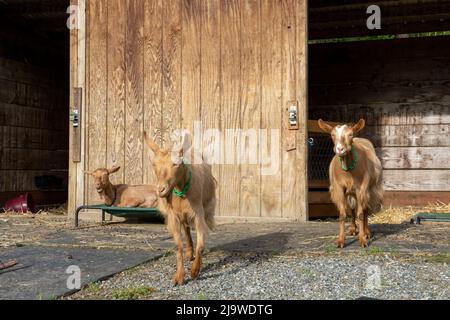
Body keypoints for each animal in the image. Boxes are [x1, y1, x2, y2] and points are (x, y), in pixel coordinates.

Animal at [143, 131, 215, 286]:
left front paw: (194, 271)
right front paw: (179, 276)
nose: (161, 189)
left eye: (175, 164)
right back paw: (189, 252)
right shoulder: (173, 216)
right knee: (186, 230)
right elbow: (178, 246)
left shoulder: (199, 214)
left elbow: (201, 244)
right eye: (154, 164)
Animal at [316, 119, 384, 249]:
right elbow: (343, 215)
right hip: (351, 192)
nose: (340, 149)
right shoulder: (339, 188)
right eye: (332, 135)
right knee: (352, 209)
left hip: (370, 189)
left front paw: (362, 240)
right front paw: (341, 241)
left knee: (365, 209)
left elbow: (361, 214)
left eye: (350, 134)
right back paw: (353, 229)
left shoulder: (362, 187)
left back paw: (367, 232)